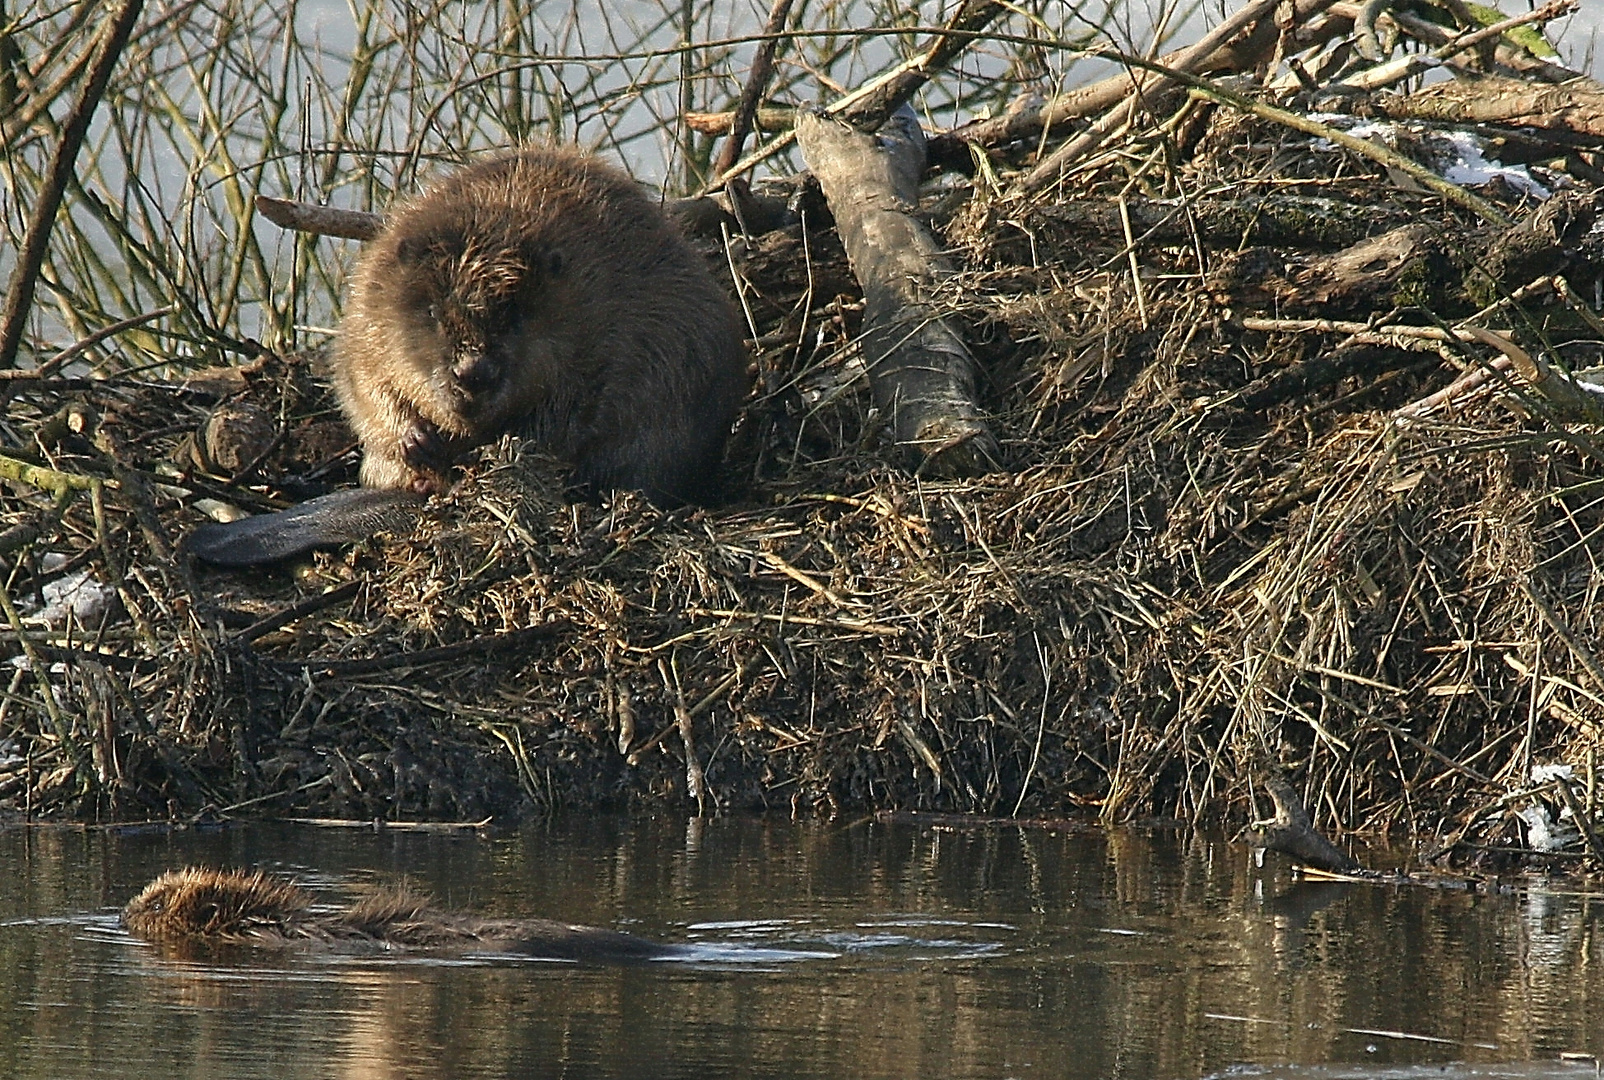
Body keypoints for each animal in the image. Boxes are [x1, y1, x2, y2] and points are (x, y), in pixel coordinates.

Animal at [338, 142, 750, 507]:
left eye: (515, 316)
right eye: (432, 312)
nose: (473, 374)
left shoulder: (613, 335)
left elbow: (567, 415)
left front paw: (474, 450)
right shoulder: (370, 302)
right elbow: (362, 384)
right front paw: (416, 439)